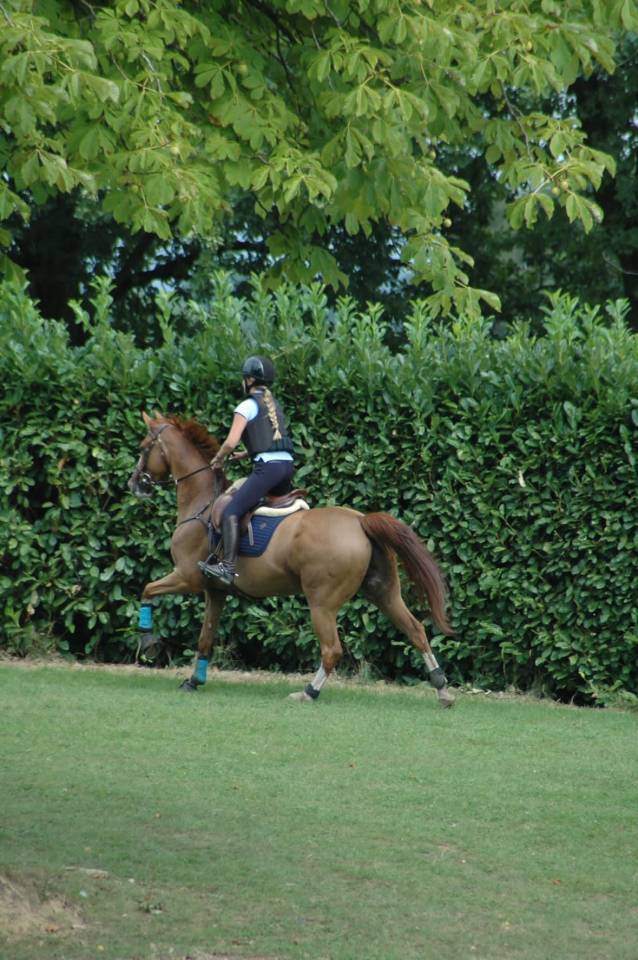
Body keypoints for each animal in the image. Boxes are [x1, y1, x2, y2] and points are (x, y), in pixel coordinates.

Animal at [127, 411, 455, 707]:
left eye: (144, 447)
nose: (134, 484)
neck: (202, 503)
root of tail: (360, 521)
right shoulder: (215, 591)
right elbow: (205, 638)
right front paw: (194, 681)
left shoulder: (187, 577)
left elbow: (147, 590)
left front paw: (149, 643)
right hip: (383, 592)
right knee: (416, 631)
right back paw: (442, 689)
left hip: (322, 602)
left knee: (332, 649)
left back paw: (308, 692)